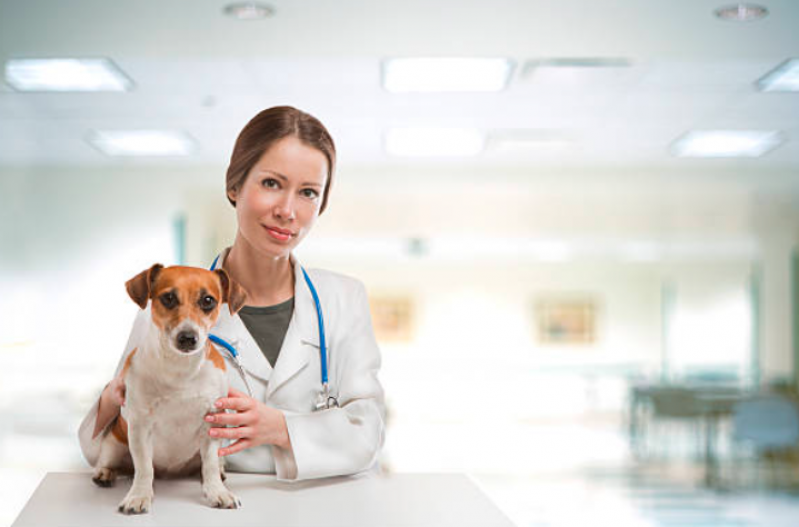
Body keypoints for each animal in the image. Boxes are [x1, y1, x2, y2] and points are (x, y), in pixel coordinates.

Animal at [91, 264, 247, 516]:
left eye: (208, 300)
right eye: (169, 298)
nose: (188, 338)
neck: (180, 369)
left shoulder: (212, 423)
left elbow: (210, 465)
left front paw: (217, 492)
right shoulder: (140, 426)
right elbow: (144, 467)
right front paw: (139, 495)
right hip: (114, 441)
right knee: (112, 461)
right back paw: (104, 473)